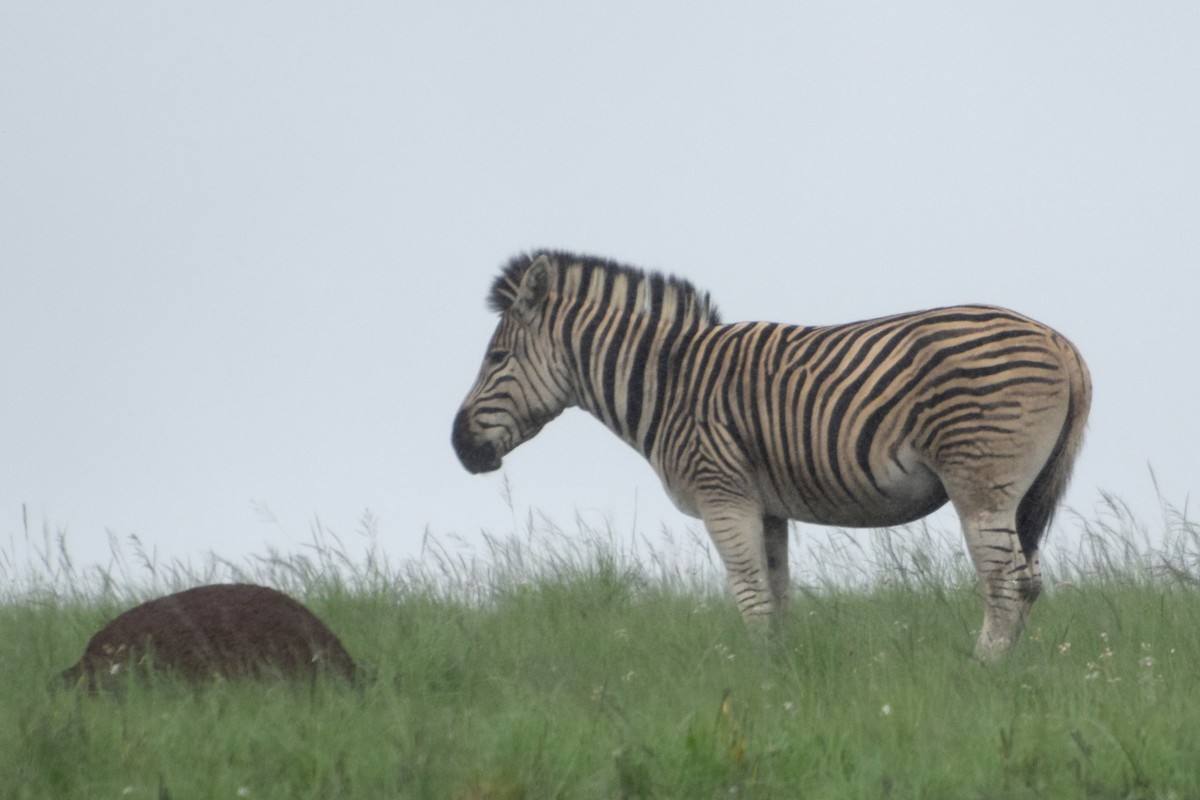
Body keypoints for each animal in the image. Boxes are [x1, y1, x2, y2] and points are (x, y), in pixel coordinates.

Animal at [452, 251, 1091, 660]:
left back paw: (982, 672)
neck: (668, 384)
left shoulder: (722, 495)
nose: (459, 447)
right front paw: (782, 679)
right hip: (1024, 494)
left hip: (980, 482)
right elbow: (779, 597)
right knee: (1028, 581)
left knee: (1004, 583)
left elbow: (752, 596)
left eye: (497, 359)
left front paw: (758, 687)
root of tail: (1057, 339)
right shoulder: (768, 507)